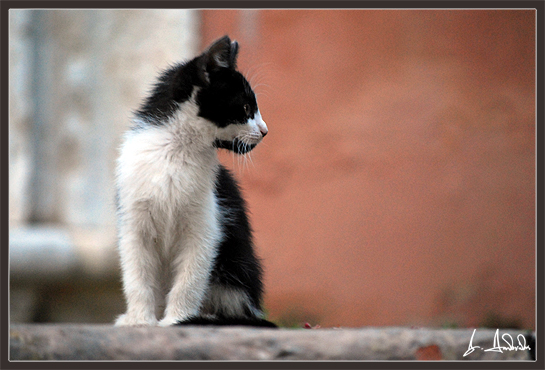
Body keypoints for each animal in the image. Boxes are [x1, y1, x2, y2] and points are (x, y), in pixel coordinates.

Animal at [115, 36, 276, 328]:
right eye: (246, 108)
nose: (265, 130)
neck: (177, 149)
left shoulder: (205, 225)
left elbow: (189, 279)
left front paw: (177, 320)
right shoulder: (133, 222)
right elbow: (137, 276)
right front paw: (140, 320)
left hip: (237, 267)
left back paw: (208, 317)